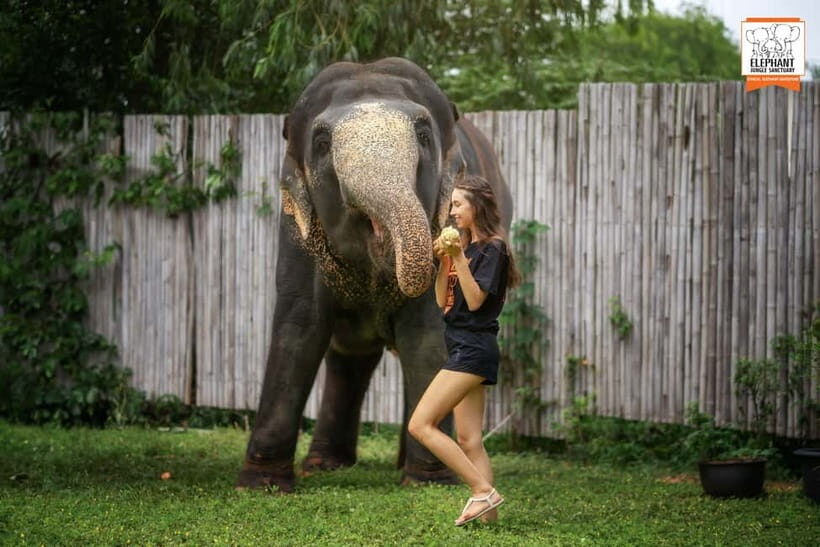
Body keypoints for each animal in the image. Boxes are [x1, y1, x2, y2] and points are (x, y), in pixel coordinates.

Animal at [236, 58, 511, 492]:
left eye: (423, 135)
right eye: (321, 143)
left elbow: (425, 334)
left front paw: (429, 481)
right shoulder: (295, 230)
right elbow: (300, 325)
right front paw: (261, 484)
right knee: (350, 353)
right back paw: (324, 464)